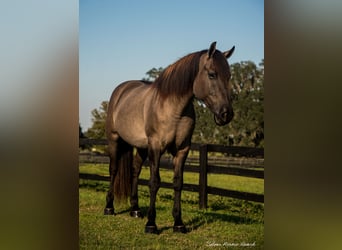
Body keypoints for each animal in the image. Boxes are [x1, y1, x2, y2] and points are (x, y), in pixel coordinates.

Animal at [103, 41, 234, 234]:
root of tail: (121, 90)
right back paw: (109, 207)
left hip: (141, 147)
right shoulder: (156, 147)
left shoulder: (182, 150)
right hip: (114, 140)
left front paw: (178, 223)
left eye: (229, 76)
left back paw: (135, 210)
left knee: (135, 171)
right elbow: (154, 182)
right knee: (113, 169)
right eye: (212, 74)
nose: (226, 114)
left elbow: (178, 183)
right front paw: (151, 224)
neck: (173, 108)